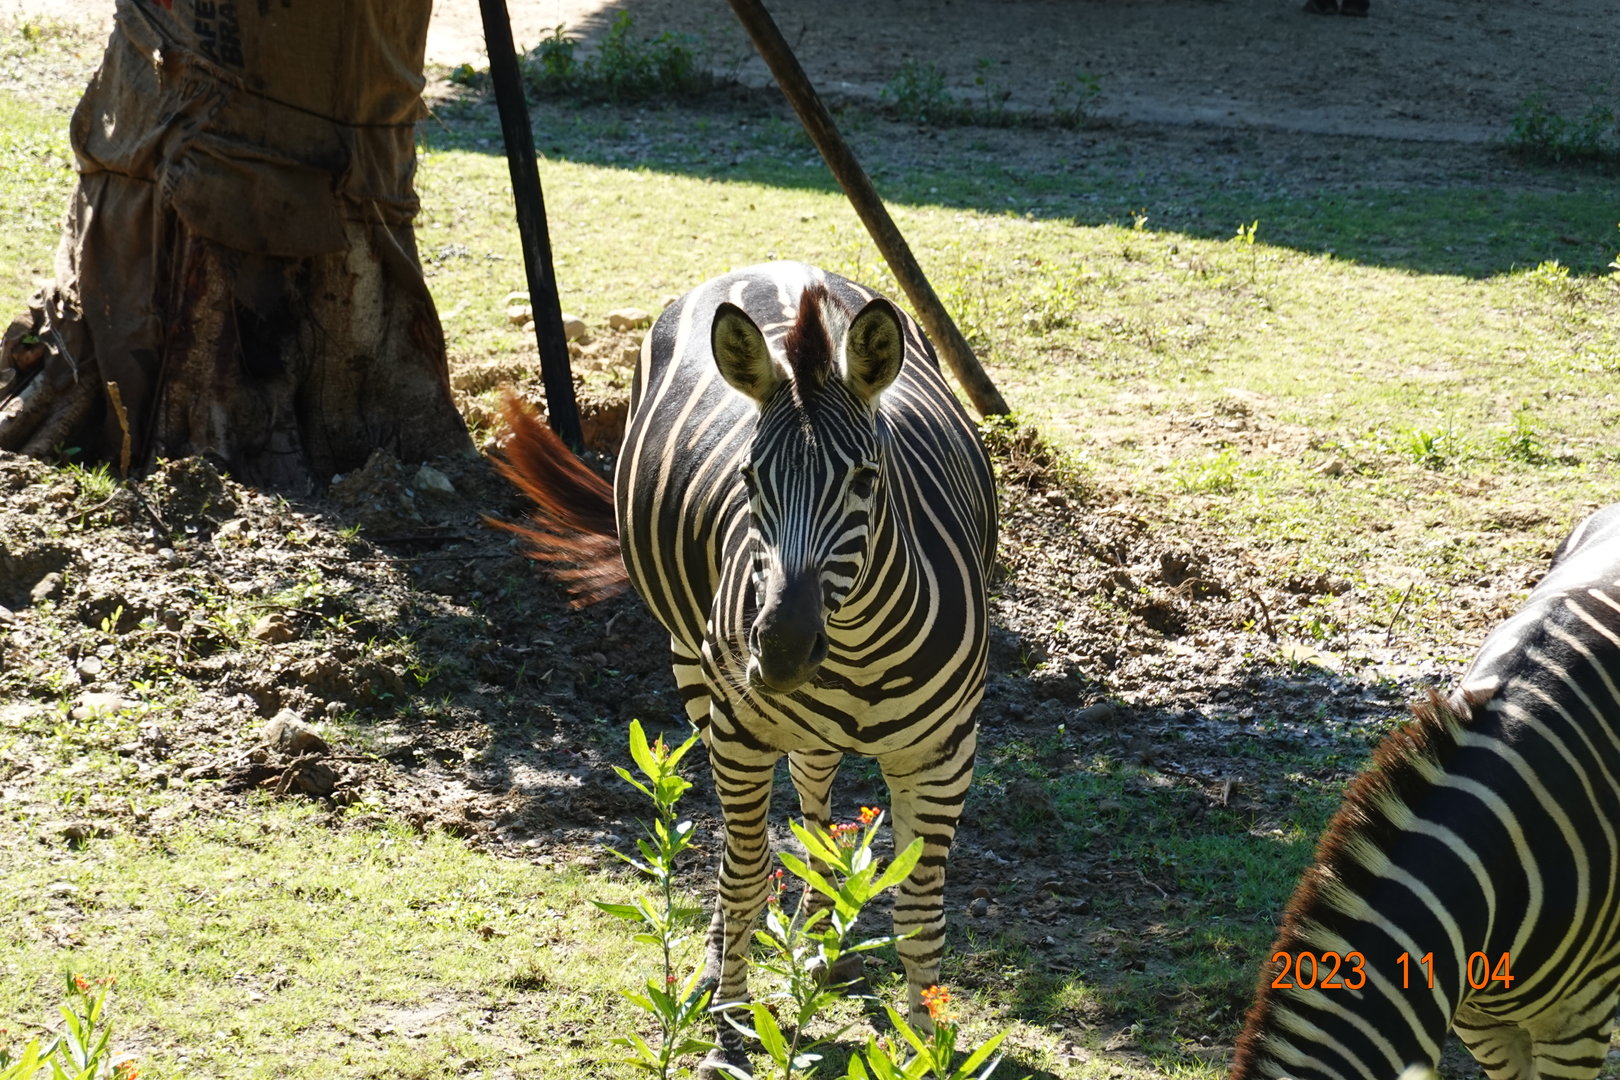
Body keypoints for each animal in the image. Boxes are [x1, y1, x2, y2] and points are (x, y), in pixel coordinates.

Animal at [496, 261, 997, 1060]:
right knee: (749, 846)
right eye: (750, 479)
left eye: (865, 480)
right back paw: (723, 966)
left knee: (816, 801)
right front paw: (732, 1022)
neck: (857, 650)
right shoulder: (740, 731)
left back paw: (824, 940)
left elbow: (921, 911)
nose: (785, 650)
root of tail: (777, 267)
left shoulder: (944, 754)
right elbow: (741, 872)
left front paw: (921, 1047)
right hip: (692, 670)